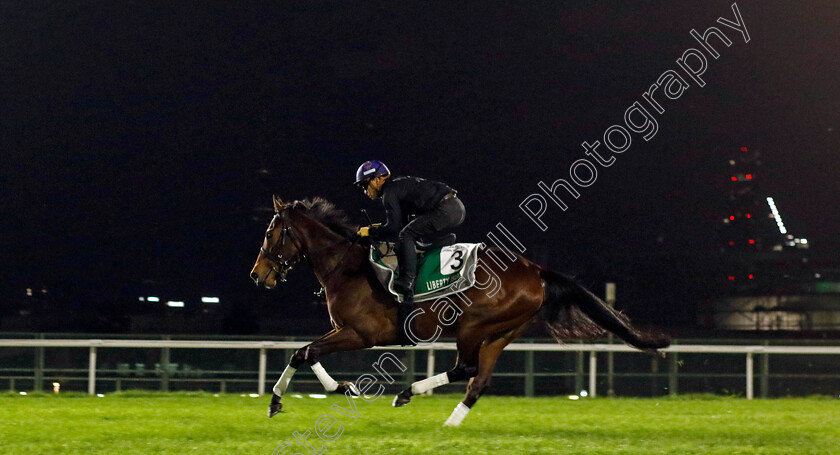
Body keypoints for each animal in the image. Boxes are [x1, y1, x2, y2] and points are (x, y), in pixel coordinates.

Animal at [249, 196, 668, 428]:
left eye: (270, 233)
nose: (257, 275)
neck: (346, 264)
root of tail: (536, 270)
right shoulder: (347, 332)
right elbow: (305, 352)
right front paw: (335, 388)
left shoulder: (362, 334)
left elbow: (304, 352)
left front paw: (282, 399)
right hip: (501, 333)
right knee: (477, 382)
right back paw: (449, 423)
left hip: (473, 326)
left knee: (465, 368)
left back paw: (410, 392)